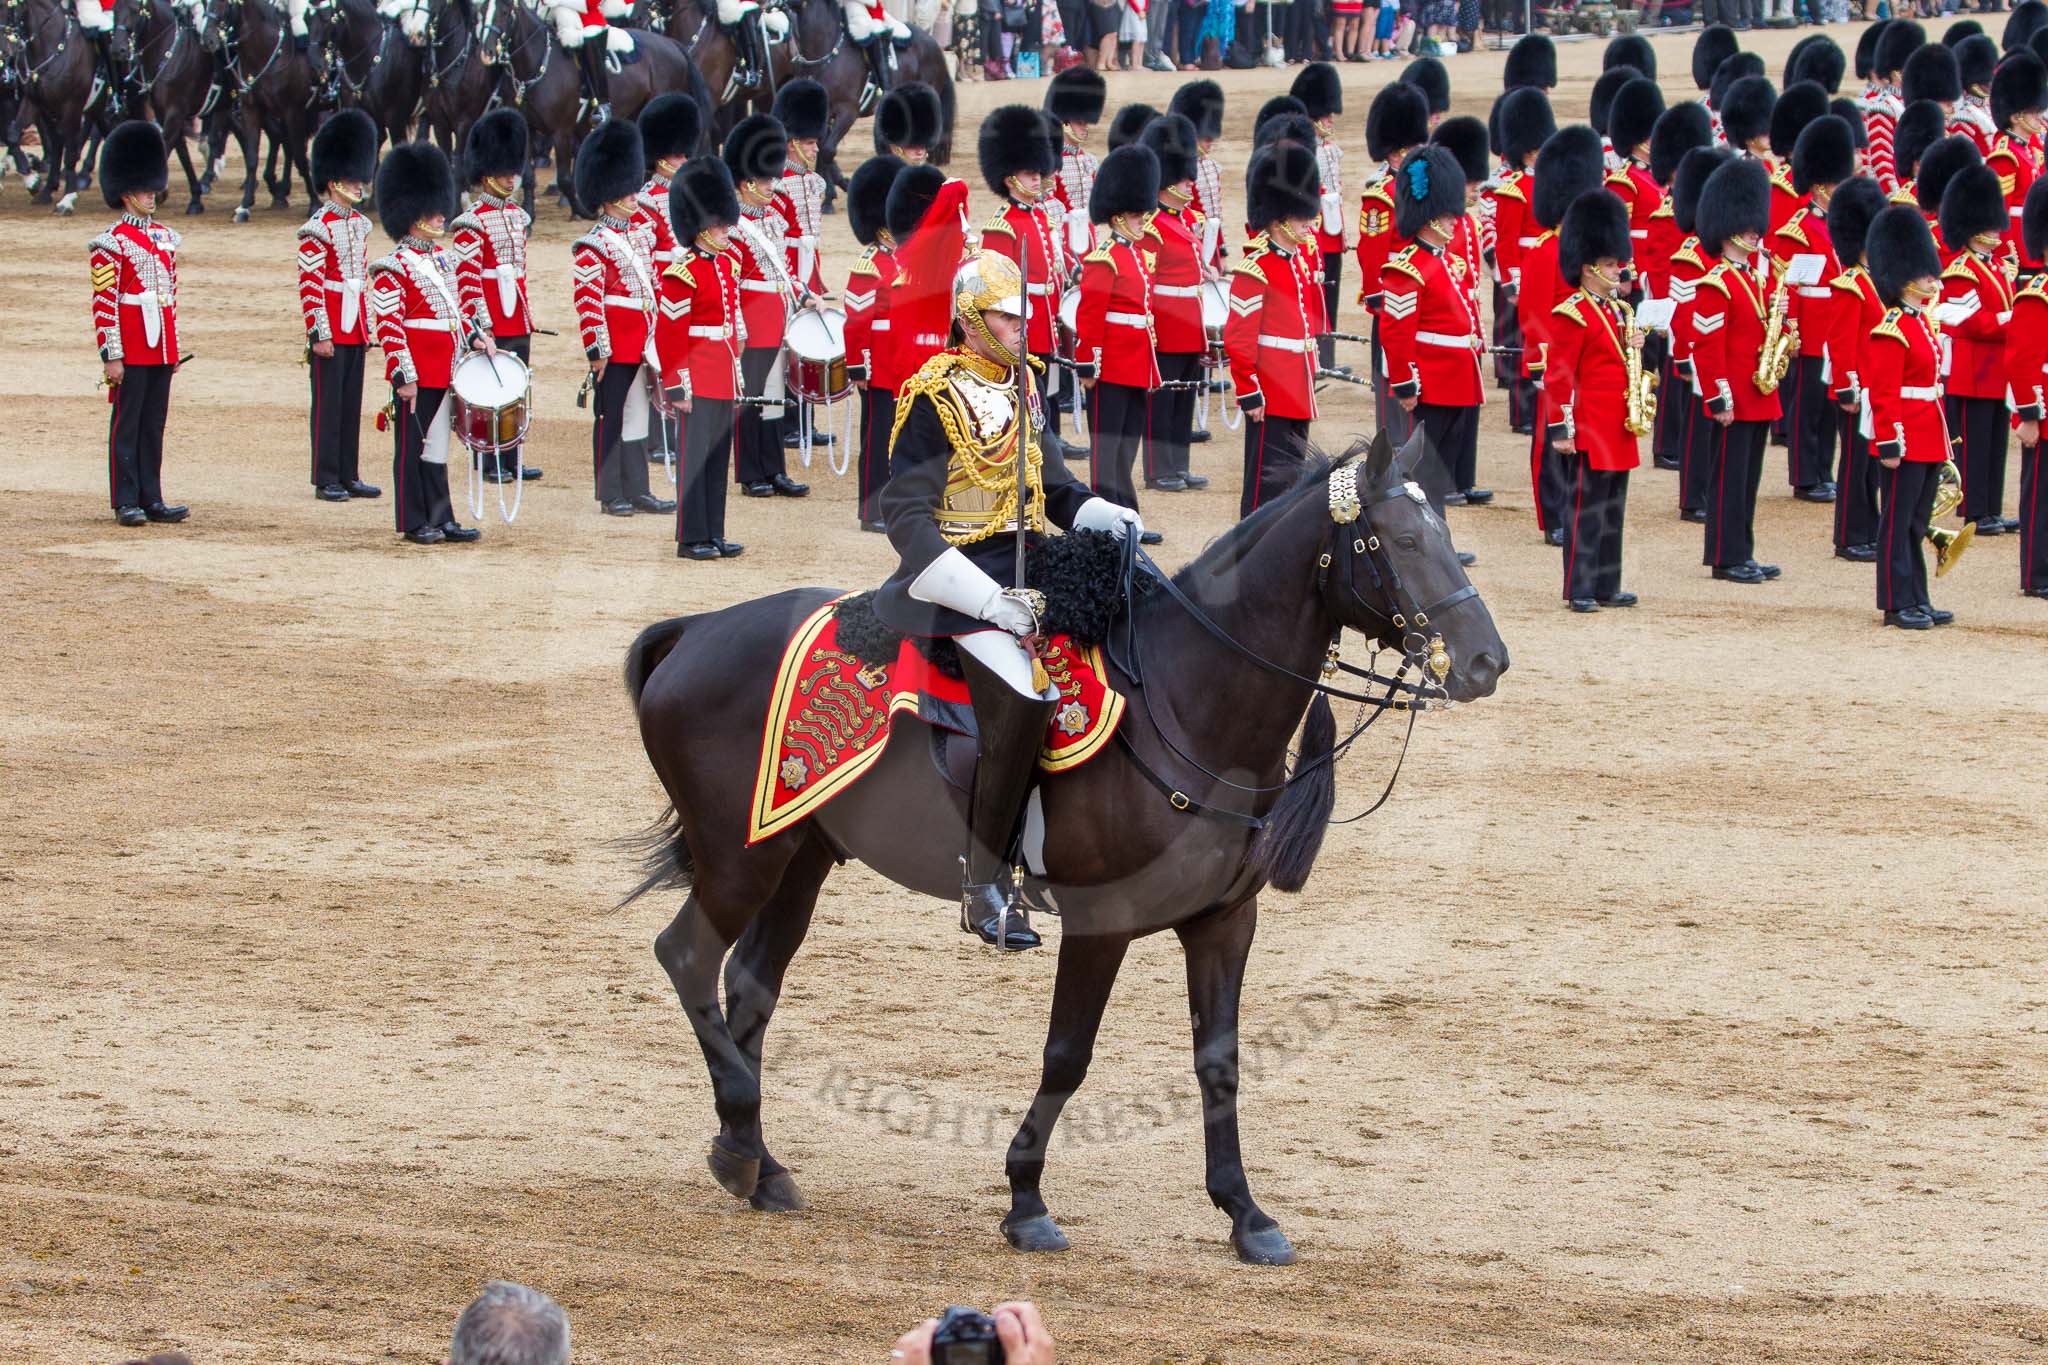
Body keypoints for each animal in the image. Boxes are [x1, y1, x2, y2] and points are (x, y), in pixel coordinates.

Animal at [3, 0, 108, 212]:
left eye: (6, 6)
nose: (5, 52)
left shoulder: (72, 105)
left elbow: (69, 150)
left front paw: (67, 197)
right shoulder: (36, 102)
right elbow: (13, 135)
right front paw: (34, 182)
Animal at [109, 0, 219, 212]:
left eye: (135, 9)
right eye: (115, 9)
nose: (118, 50)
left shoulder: (175, 113)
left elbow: (165, 145)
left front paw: (157, 193)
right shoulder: (164, 112)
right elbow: (181, 151)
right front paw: (195, 197)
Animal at [202, 0, 316, 221]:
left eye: (224, 4)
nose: (208, 39)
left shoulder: (293, 111)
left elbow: (300, 155)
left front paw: (315, 203)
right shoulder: (252, 109)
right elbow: (252, 156)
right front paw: (244, 205)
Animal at [619, 429, 1508, 1264]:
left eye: (1446, 534)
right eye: (1398, 539)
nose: (1485, 661)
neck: (1189, 700)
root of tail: (696, 631)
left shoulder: (1225, 922)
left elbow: (1218, 1060)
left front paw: (1246, 1213)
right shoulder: (1099, 923)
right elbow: (1067, 1055)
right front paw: (1026, 1200)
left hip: (798, 855)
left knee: (751, 984)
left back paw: (756, 1160)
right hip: (741, 858)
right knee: (687, 956)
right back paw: (741, 1146)